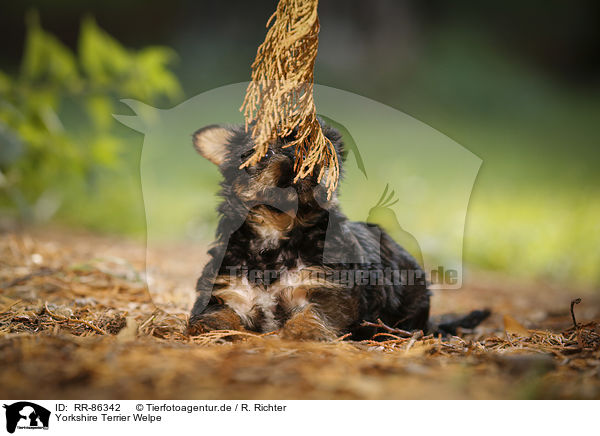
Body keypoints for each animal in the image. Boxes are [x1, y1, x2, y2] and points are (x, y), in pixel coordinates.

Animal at [188, 120, 488, 340]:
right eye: (264, 151)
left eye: (321, 149)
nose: (298, 155)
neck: (278, 230)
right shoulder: (226, 289)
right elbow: (215, 312)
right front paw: (211, 326)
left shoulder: (330, 289)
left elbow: (314, 313)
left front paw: (302, 332)